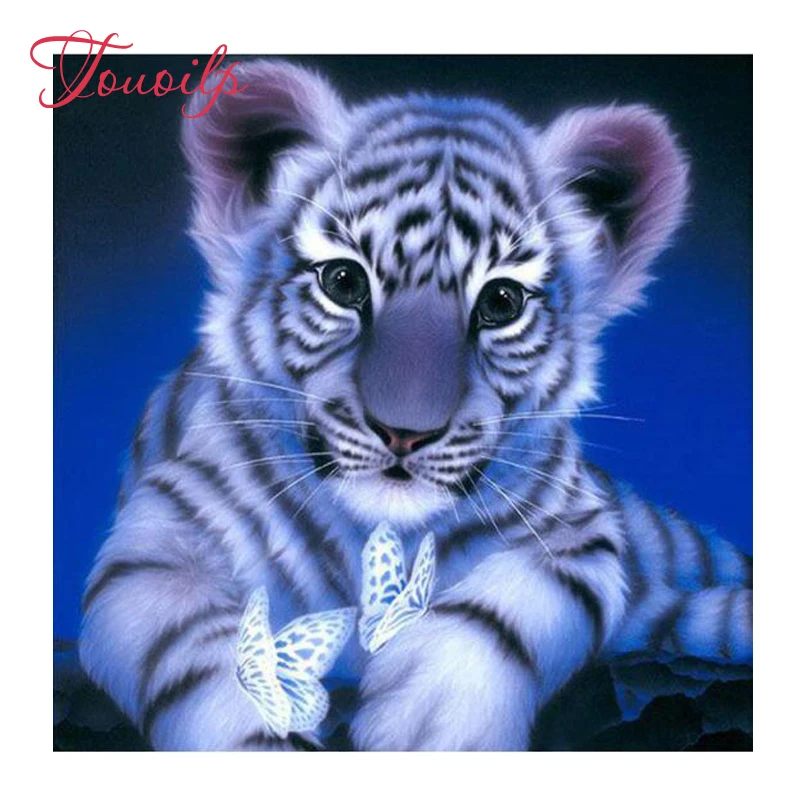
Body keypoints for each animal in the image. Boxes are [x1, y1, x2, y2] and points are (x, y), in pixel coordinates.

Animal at [78, 59, 753, 751]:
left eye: (502, 302)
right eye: (343, 281)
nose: (404, 433)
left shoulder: (581, 530)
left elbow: (507, 608)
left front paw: (432, 719)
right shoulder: (159, 541)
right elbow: (203, 655)